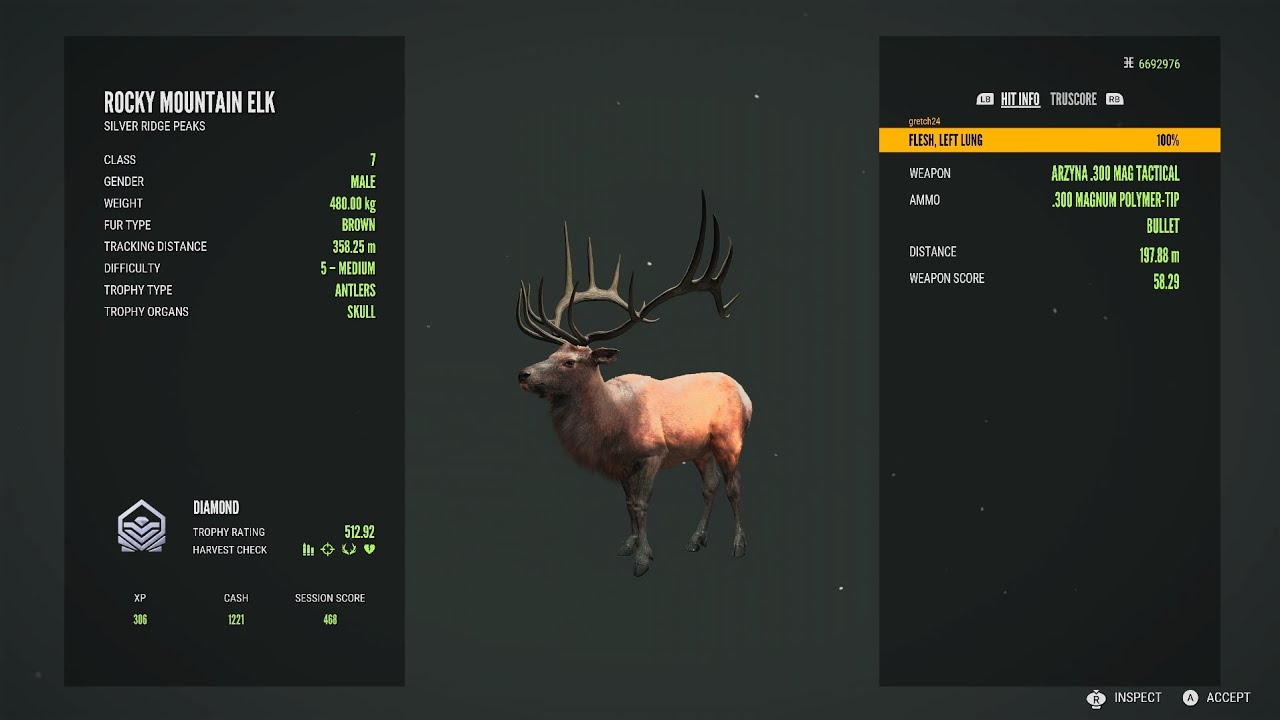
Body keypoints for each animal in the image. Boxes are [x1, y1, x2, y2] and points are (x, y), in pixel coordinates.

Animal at [515, 192, 752, 577]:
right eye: (551, 353)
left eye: (570, 361)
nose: (523, 374)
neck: (612, 423)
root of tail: (746, 395)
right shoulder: (621, 463)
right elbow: (628, 504)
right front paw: (629, 546)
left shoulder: (653, 452)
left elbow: (641, 505)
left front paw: (643, 559)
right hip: (699, 448)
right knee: (710, 487)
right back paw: (696, 539)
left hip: (729, 438)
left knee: (734, 486)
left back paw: (738, 545)